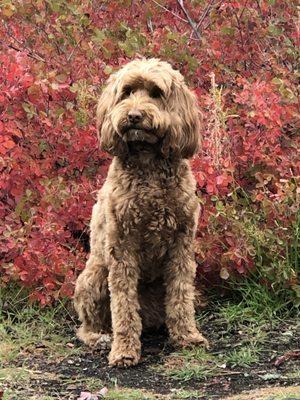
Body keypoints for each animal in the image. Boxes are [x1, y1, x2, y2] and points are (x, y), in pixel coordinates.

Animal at [74, 57, 207, 368]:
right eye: (126, 92)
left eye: (156, 93)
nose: (134, 116)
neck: (148, 162)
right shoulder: (122, 246)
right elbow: (123, 305)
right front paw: (124, 351)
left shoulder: (182, 243)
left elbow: (181, 296)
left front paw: (187, 336)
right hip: (94, 277)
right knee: (87, 325)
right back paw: (100, 338)